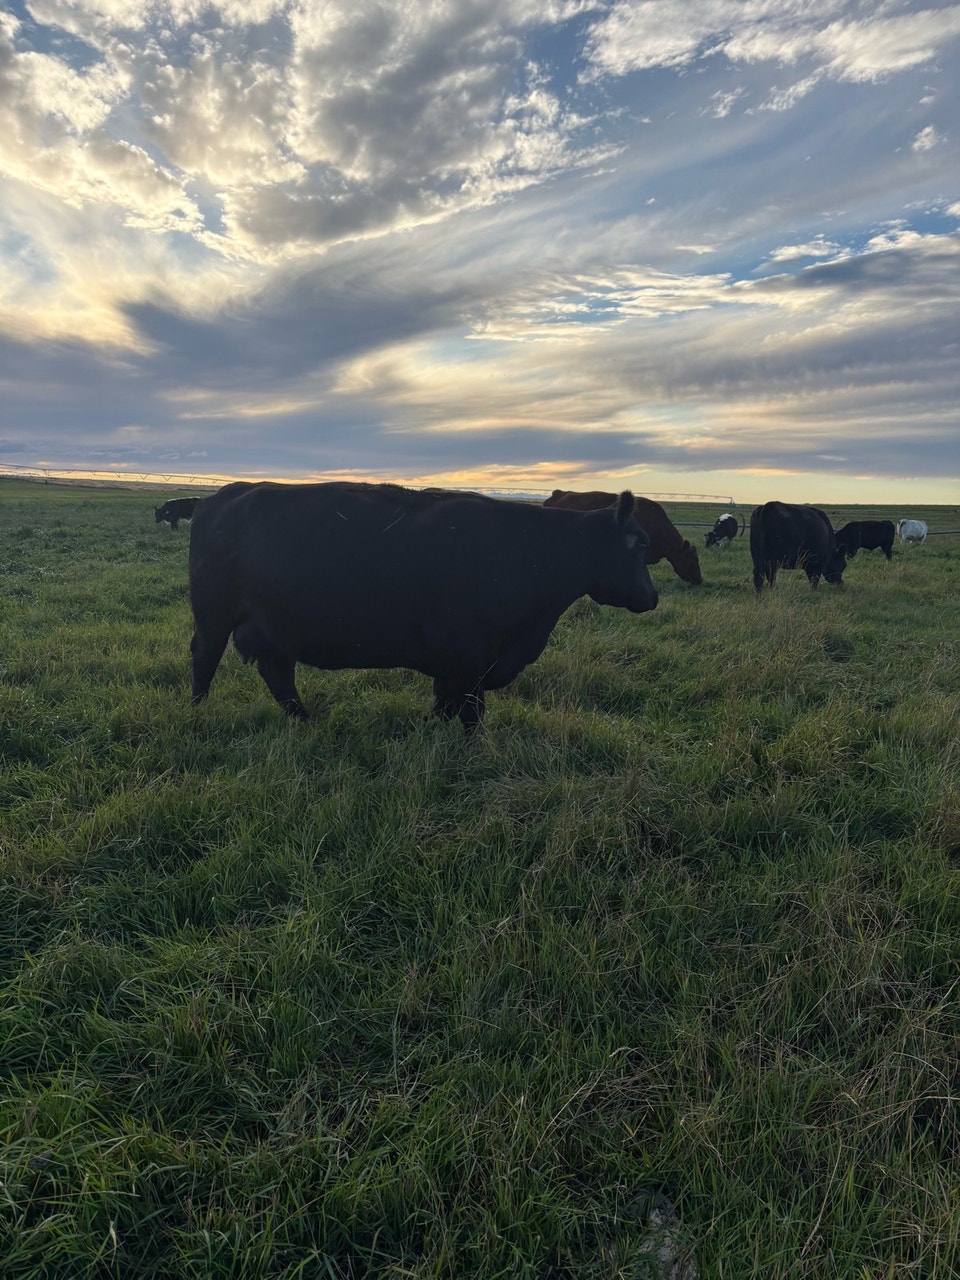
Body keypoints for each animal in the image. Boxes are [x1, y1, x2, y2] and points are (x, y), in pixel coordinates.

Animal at [188, 481, 659, 733]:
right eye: (639, 544)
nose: (653, 597)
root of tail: (222, 495)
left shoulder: (460, 664)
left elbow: (446, 703)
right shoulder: (470, 658)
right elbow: (469, 711)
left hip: (273, 628)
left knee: (278, 674)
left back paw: (305, 721)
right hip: (213, 616)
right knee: (205, 658)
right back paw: (198, 712)